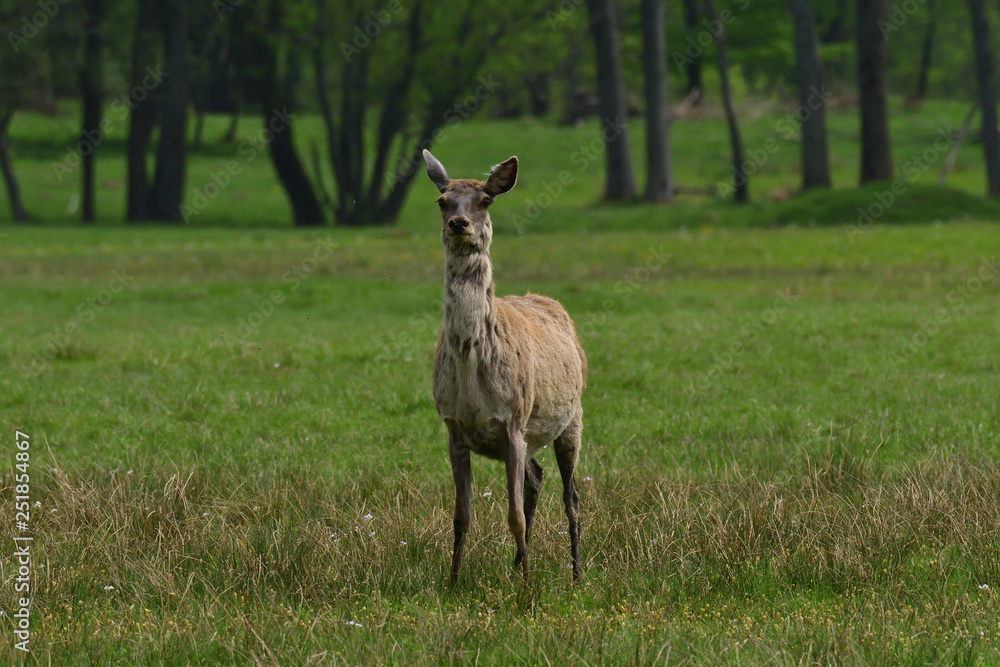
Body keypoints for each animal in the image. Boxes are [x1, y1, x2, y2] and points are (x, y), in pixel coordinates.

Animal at [420, 150, 584, 584]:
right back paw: (517, 564)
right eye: (442, 200)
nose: (459, 224)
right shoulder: (453, 427)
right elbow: (461, 516)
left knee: (571, 497)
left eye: (485, 200)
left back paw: (577, 573)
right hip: (531, 436)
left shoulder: (512, 418)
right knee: (536, 478)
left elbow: (514, 516)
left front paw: (528, 587)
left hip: (571, 419)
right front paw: (453, 581)